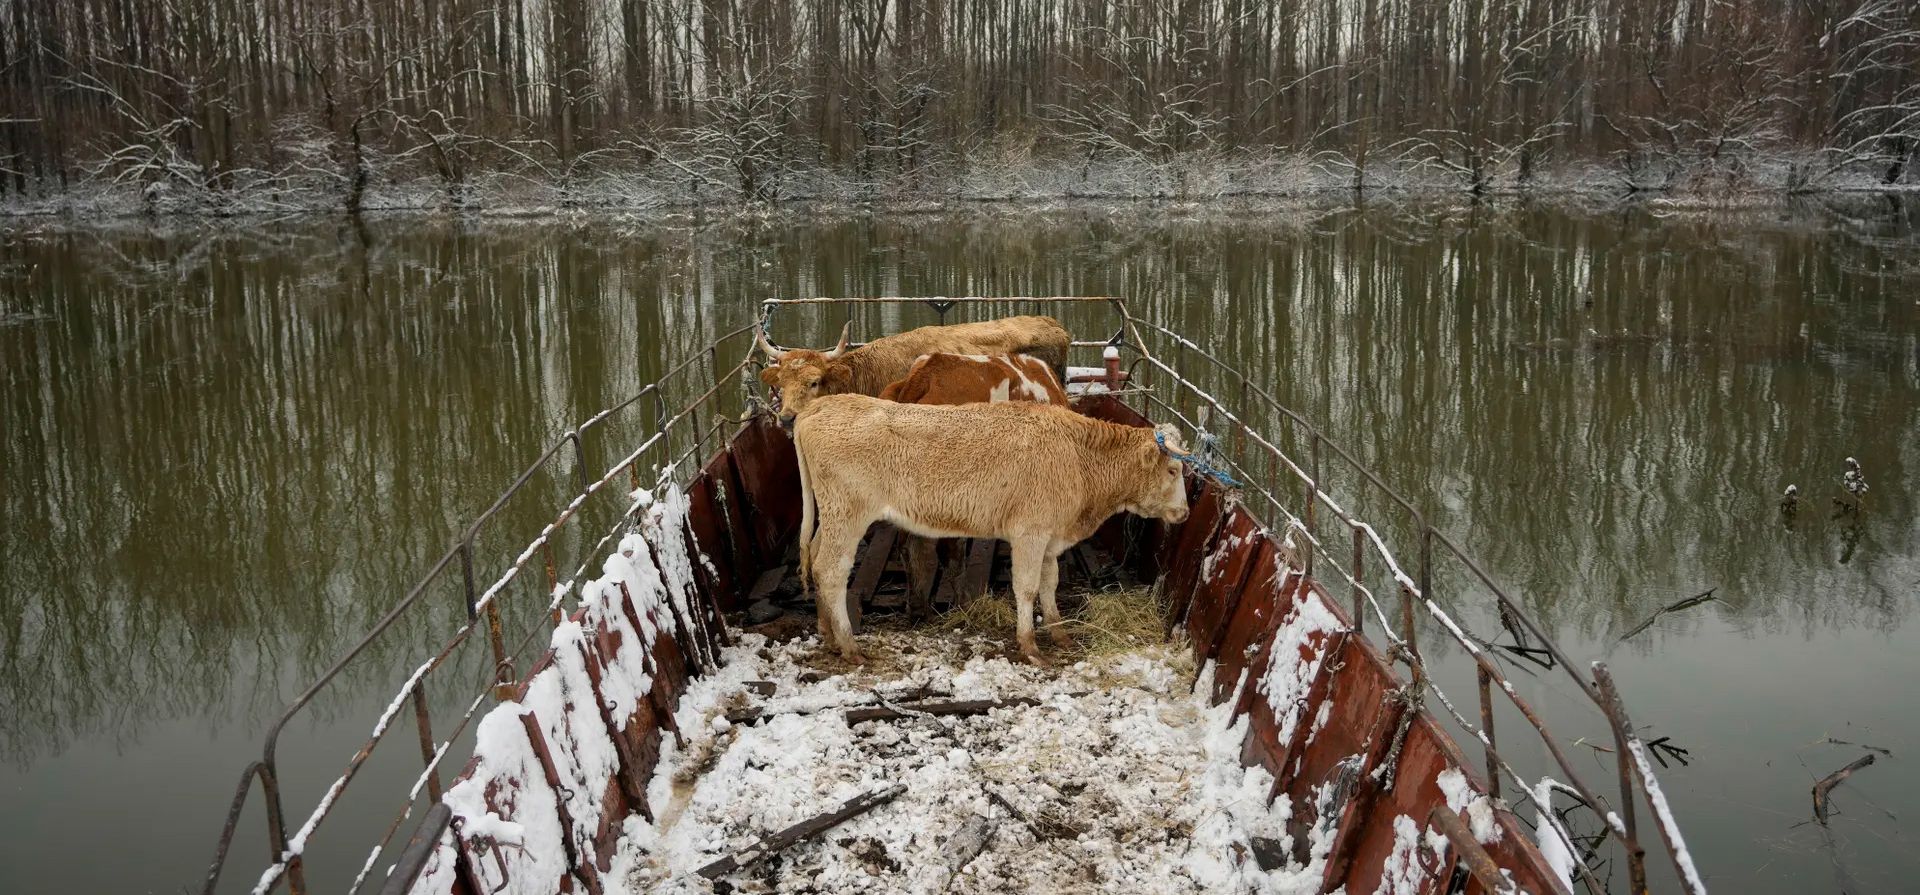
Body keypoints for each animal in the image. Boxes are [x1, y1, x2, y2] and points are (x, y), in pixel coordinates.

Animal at [792, 395, 1191, 664]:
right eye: (1173, 470)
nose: (1185, 513)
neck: (1077, 457)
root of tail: (822, 405)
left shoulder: (1050, 537)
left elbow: (1049, 584)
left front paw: (1059, 634)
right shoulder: (1029, 533)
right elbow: (1026, 588)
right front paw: (1030, 646)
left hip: (830, 517)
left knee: (816, 561)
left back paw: (829, 635)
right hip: (848, 515)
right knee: (831, 571)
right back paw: (849, 645)